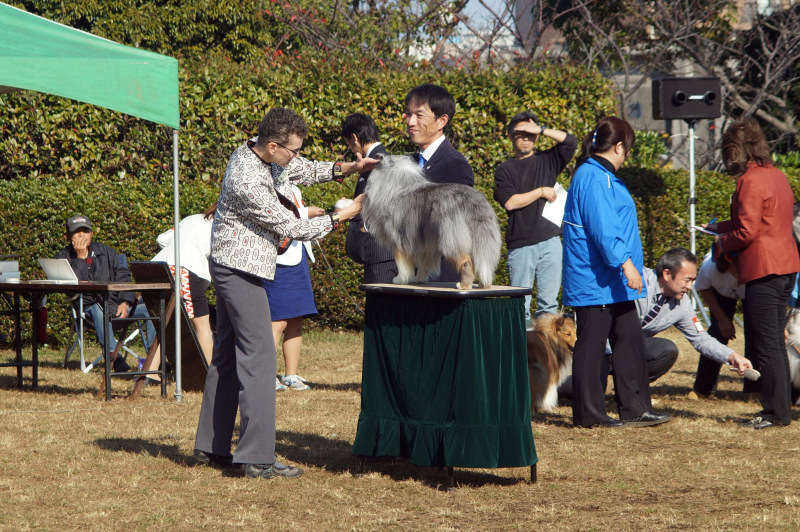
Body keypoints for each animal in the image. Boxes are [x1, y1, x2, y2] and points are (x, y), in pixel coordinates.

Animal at [362, 155, 500, 286]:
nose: (375, 156)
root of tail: (471, 202)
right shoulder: (424, 243)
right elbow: (423, 265)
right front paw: (418, 279)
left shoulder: (399, 239)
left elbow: (402, 265)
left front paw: (399, 280)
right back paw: (484, 284)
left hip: (451, 239)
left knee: (465, 261)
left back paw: (464, 285)